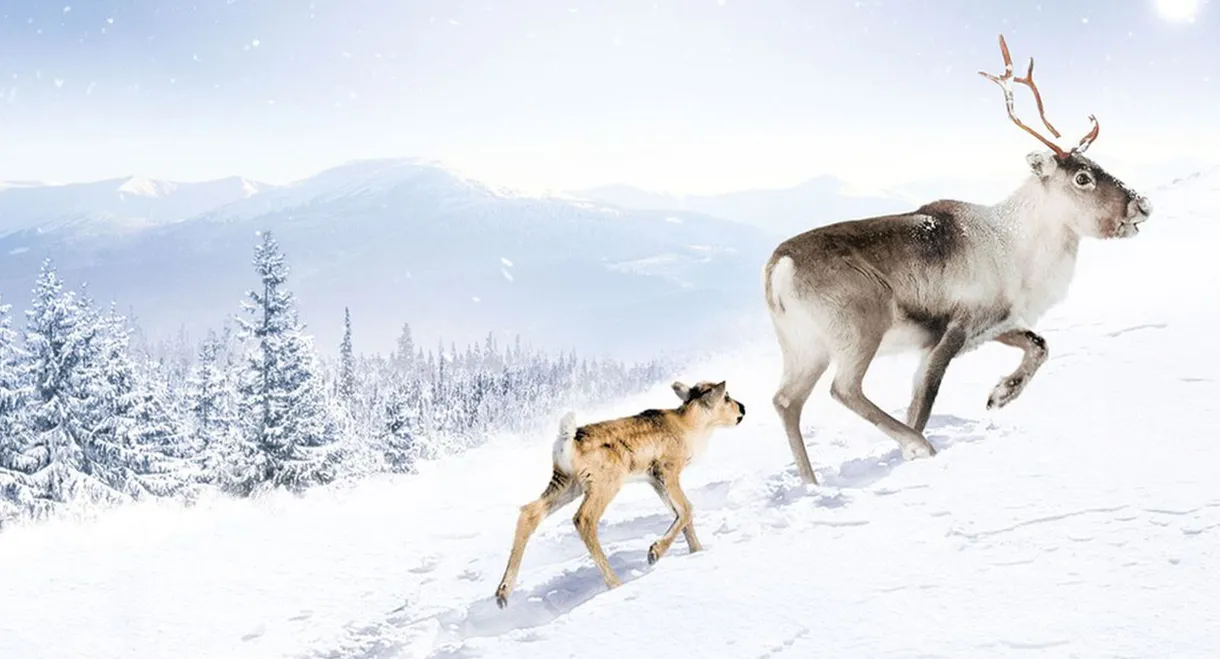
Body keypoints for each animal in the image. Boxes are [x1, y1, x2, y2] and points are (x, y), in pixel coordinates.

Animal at [493, 380, 746, 609]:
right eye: (726, 396)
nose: (742, 408)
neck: (690, 426)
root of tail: (567, 440)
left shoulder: (654, 480)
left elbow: (681, 514)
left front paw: (697, 551)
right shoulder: (667, 470)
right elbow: (687, 509)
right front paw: (654, 552)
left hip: (566, 483)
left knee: (530, 512)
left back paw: (502, 594)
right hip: (604, 484)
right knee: (583, 519)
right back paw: (615, 583)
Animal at [763, 34, 1153, 485]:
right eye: (1083, 177)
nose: (1142, 205)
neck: (1018, 245)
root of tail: (779, 268)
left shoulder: (994, 323)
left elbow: (1040, 345)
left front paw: (1000, 395)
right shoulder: (953, 328)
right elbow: (924, 399)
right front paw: (915, 450)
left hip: (803, 347)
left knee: (786, 400)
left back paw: (811, 483)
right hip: (858, 330)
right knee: (843, 389)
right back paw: (916, 446)